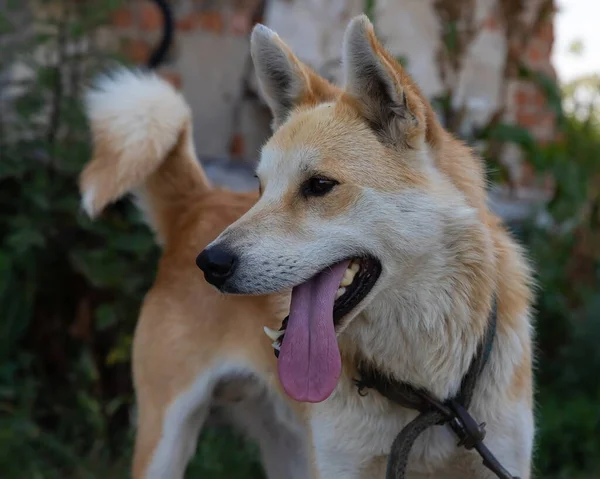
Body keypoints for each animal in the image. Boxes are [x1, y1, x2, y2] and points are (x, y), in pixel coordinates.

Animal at [79, 14, 536, 479]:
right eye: (261, 187)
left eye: (318, 185)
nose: (209, 264)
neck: (428, 394)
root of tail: (199, 203)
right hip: (165, 443)